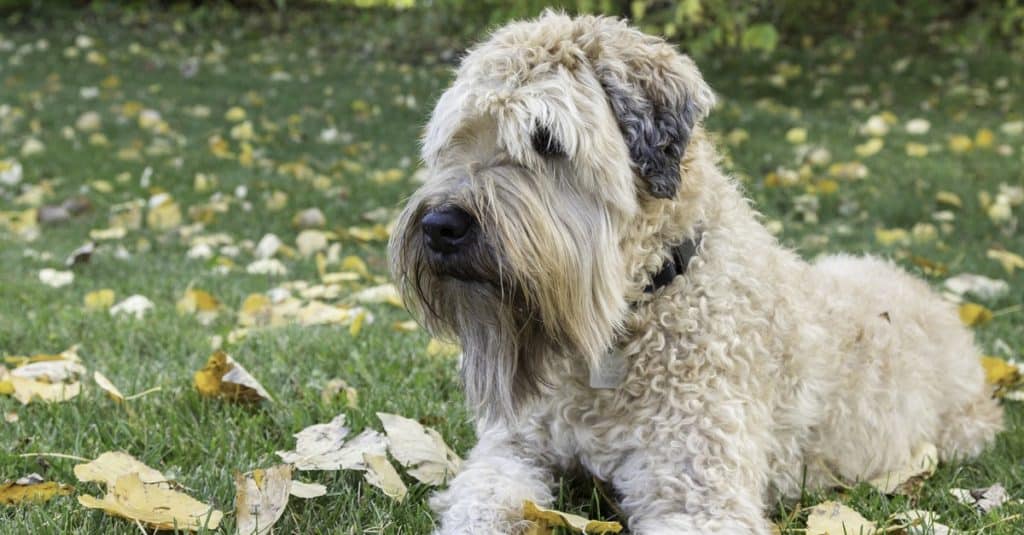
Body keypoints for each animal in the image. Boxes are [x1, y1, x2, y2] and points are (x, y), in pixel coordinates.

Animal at [387, 10, 1003, 528]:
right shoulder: (512, 450)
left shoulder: (699, 494)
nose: (440, 225)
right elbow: (483, 500)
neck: (640, 305)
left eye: (546, 140)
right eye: (456, 137)